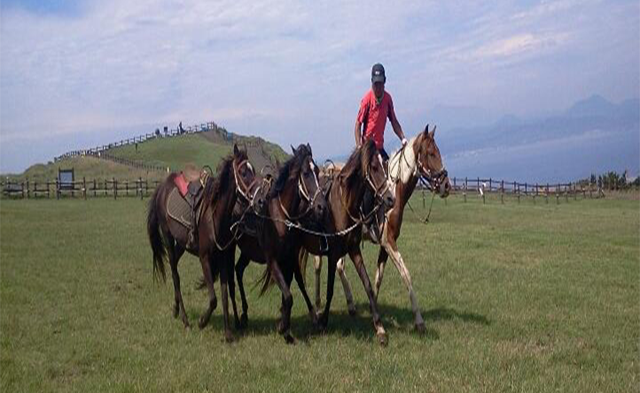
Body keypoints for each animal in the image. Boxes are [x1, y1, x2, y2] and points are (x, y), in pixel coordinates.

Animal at [148, 144, 262, 340]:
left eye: (253, 170)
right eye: (243, 172)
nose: (259, 199)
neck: (216, 216)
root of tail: (162, 187)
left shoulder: (224, 257)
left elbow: (224, 294)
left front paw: (228, 332)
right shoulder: (204, 258)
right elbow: (214, 299)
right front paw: (202, 321)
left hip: (181, 245)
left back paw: (176, 310)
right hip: (168, 239)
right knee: (175, 276)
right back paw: (185, 320)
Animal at [300, 139, 396, 344]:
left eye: (384, 165)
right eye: (374, 167)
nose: (391, 199)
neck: (343, 205)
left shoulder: (354, 250)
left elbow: (368, 285)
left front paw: (380, 328)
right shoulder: (332, 254)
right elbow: (330, 289)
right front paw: (324, 321)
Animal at [310, 125, 450, 330]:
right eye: (431, 153)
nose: (446, 185)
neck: (394, 193)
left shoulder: (385, 245)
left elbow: (377, 278)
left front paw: (373, 307)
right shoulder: (389, 242)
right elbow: (406, 275)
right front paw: (419, 321)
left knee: (339, 266)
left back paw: (350, 305)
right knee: (319, 266)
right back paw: (319, 306)